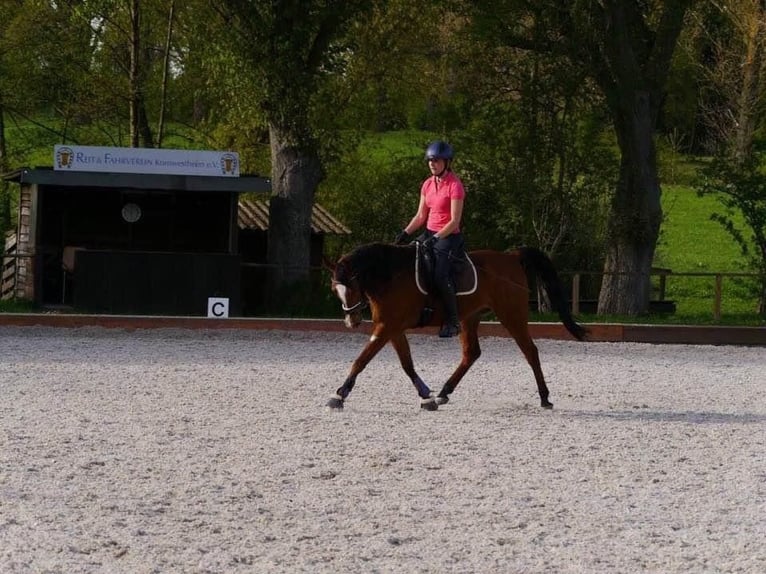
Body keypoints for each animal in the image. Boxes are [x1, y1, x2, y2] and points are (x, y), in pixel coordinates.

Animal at [326, 242, 587, 411]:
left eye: (351, 287)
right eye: (334, 289)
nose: (351, 321)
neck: (390, 275)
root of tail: (511, 256)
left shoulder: (387, 327)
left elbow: (362, 359)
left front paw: (339, 395)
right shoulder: (392, 328)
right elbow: (407, 363)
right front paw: (426, 396)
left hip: (511, 314)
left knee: (530, 351)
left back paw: (544, 398)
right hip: (469, 317)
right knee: (471, 353)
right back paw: (444, 393)